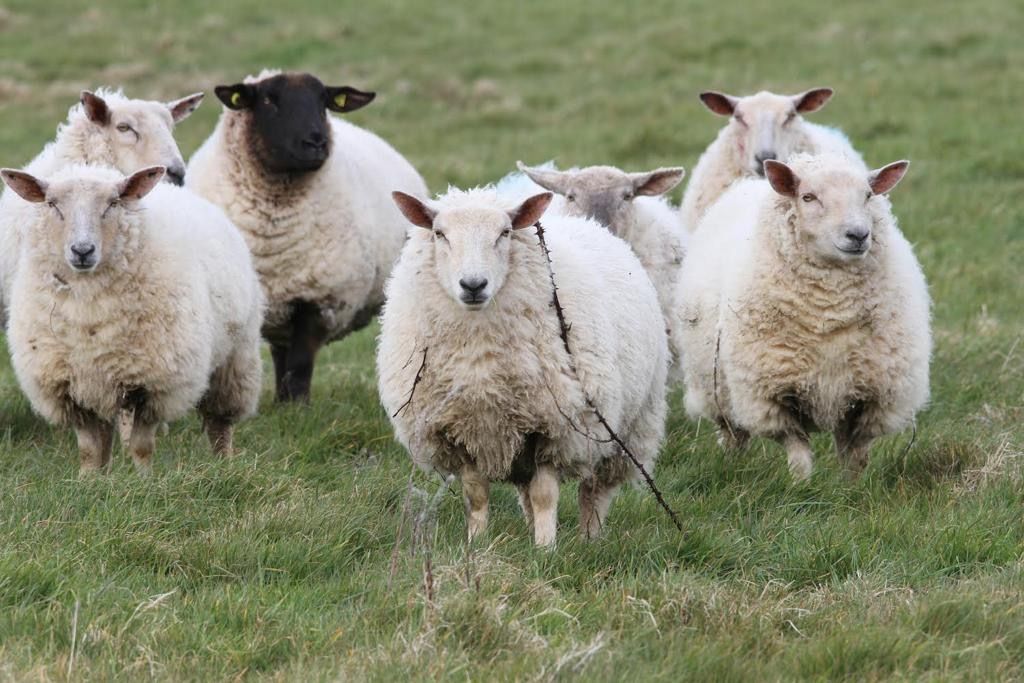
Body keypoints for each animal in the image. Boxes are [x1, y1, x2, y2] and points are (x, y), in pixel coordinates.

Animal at [0, 164, 263, 474]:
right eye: (52, 204)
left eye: (113, 203)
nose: (82, 251)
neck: (88, 311)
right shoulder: (69, 386)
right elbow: (89, 448)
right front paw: (88, 479)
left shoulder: (153, 385)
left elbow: (141, 446)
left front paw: (144, 479)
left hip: (236, 358)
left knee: (220, 422)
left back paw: (224, 463)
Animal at [186, 69, 428, 403]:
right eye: (268, 100)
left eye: (324, 102)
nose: (316, 141)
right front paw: (286, 405)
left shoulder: (319, 298)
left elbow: (300, 362)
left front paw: (297, 406)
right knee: (280, 353)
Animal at [378, 187, 668, 546]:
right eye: (439, 234)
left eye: (504, 233)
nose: (473, 285)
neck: (480, 357)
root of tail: (590, 224)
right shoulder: (461, 432)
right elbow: (477, 496)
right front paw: (476, 544)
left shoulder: (554, 429)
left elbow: (545, 495)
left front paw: (546, 549)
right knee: (527, 491)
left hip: (626, 428)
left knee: (594, 490)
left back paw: (589, 538)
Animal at [673, 153, 929, 479]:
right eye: (808, 197)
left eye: (868, 195)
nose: (858, 235)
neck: (830, 312)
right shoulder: (773, 396)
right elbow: (798, 453)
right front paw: (802, 485)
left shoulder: (871, 398)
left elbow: (855, 456)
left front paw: (852, 487)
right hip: (715, 388)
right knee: (734, 434)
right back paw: (733, 465)